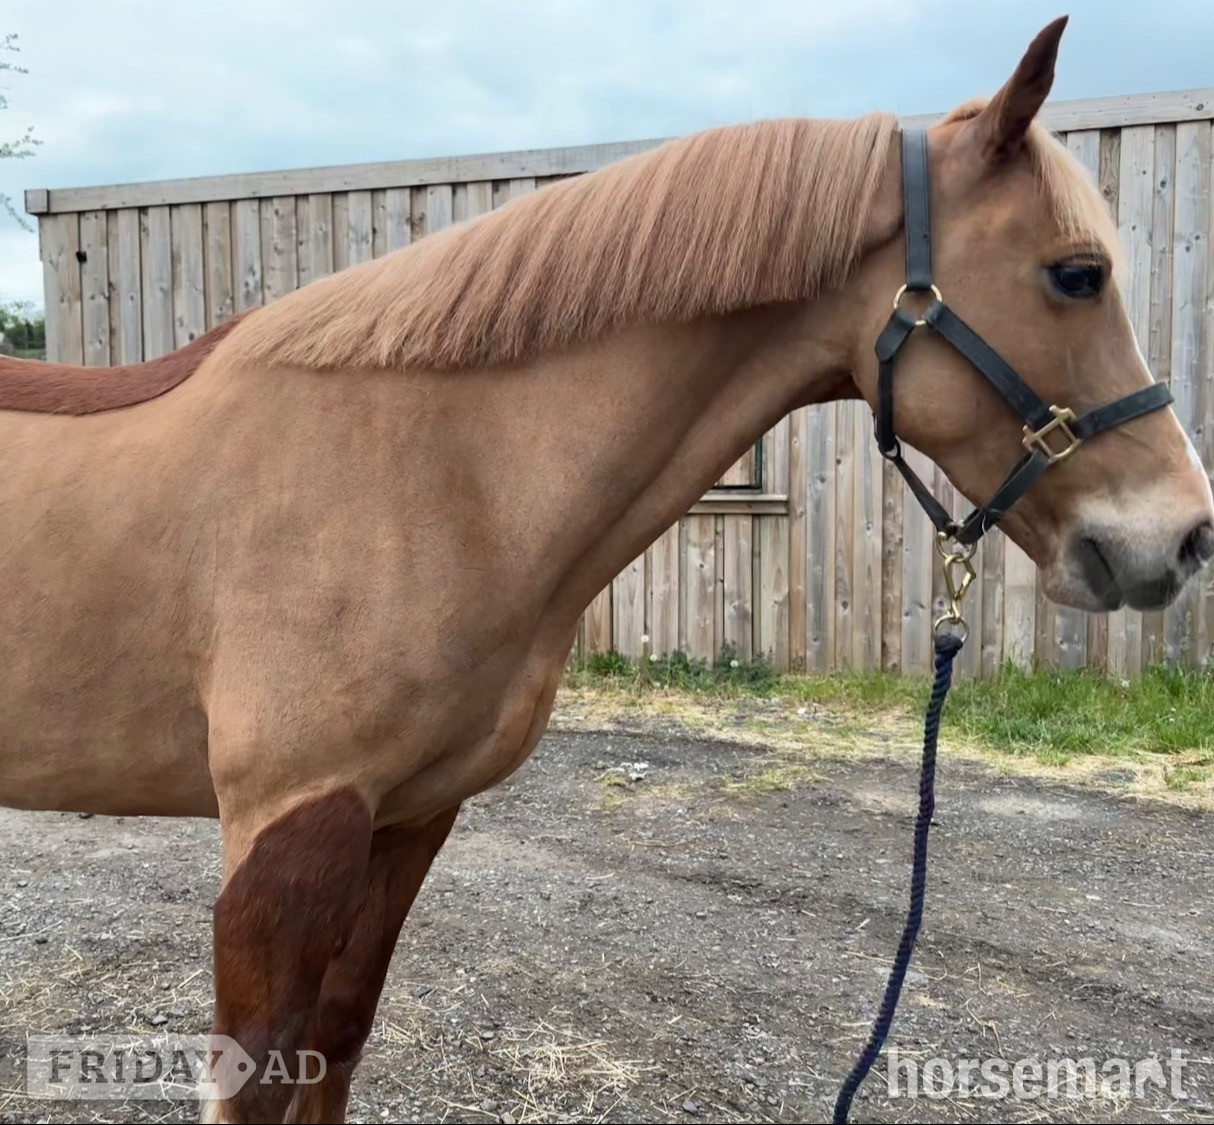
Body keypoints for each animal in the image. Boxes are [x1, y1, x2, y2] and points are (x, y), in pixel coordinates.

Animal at [2, 15, 1211, 1123]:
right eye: (1075, 274)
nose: (1183, 537)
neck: (426, 468)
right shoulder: (289, 835)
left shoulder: (407, 819)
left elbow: (336, 1043)